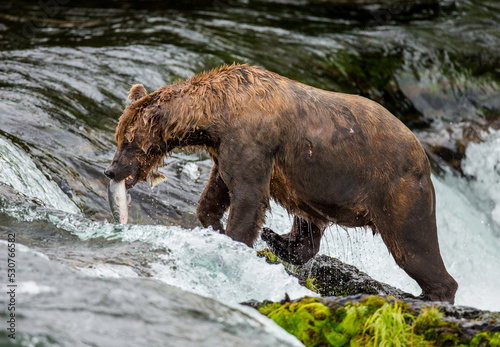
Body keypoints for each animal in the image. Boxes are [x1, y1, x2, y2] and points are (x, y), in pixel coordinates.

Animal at [104, 64, 458, 304]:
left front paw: (232, 241)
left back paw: (430, 295)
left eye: (127, 142)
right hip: (317, 187)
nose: (110, 170)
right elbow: (216, 193)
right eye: (119, 136)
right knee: (309, 227)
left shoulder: (251, 142)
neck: (215, 117)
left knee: (413, 247)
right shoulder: (225, 151)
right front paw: (214, 226)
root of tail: (424, 157)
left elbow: (248, 199)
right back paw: (279, 239)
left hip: (394, 189)